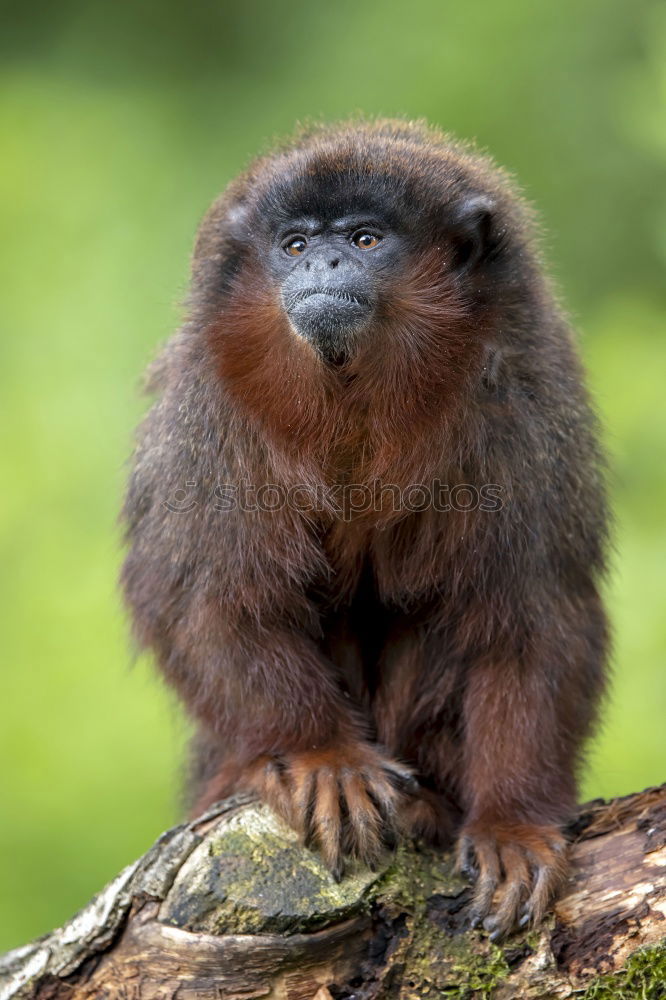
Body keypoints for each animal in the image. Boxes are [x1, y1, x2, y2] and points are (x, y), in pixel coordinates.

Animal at [119, 121, 608, 940]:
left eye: (365, 238)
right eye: (293, 245)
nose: (323, 261)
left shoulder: (521, 395)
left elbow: (535, 615)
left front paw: (513, 822)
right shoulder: (212, 408)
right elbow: (206, 596)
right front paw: (322, 756)